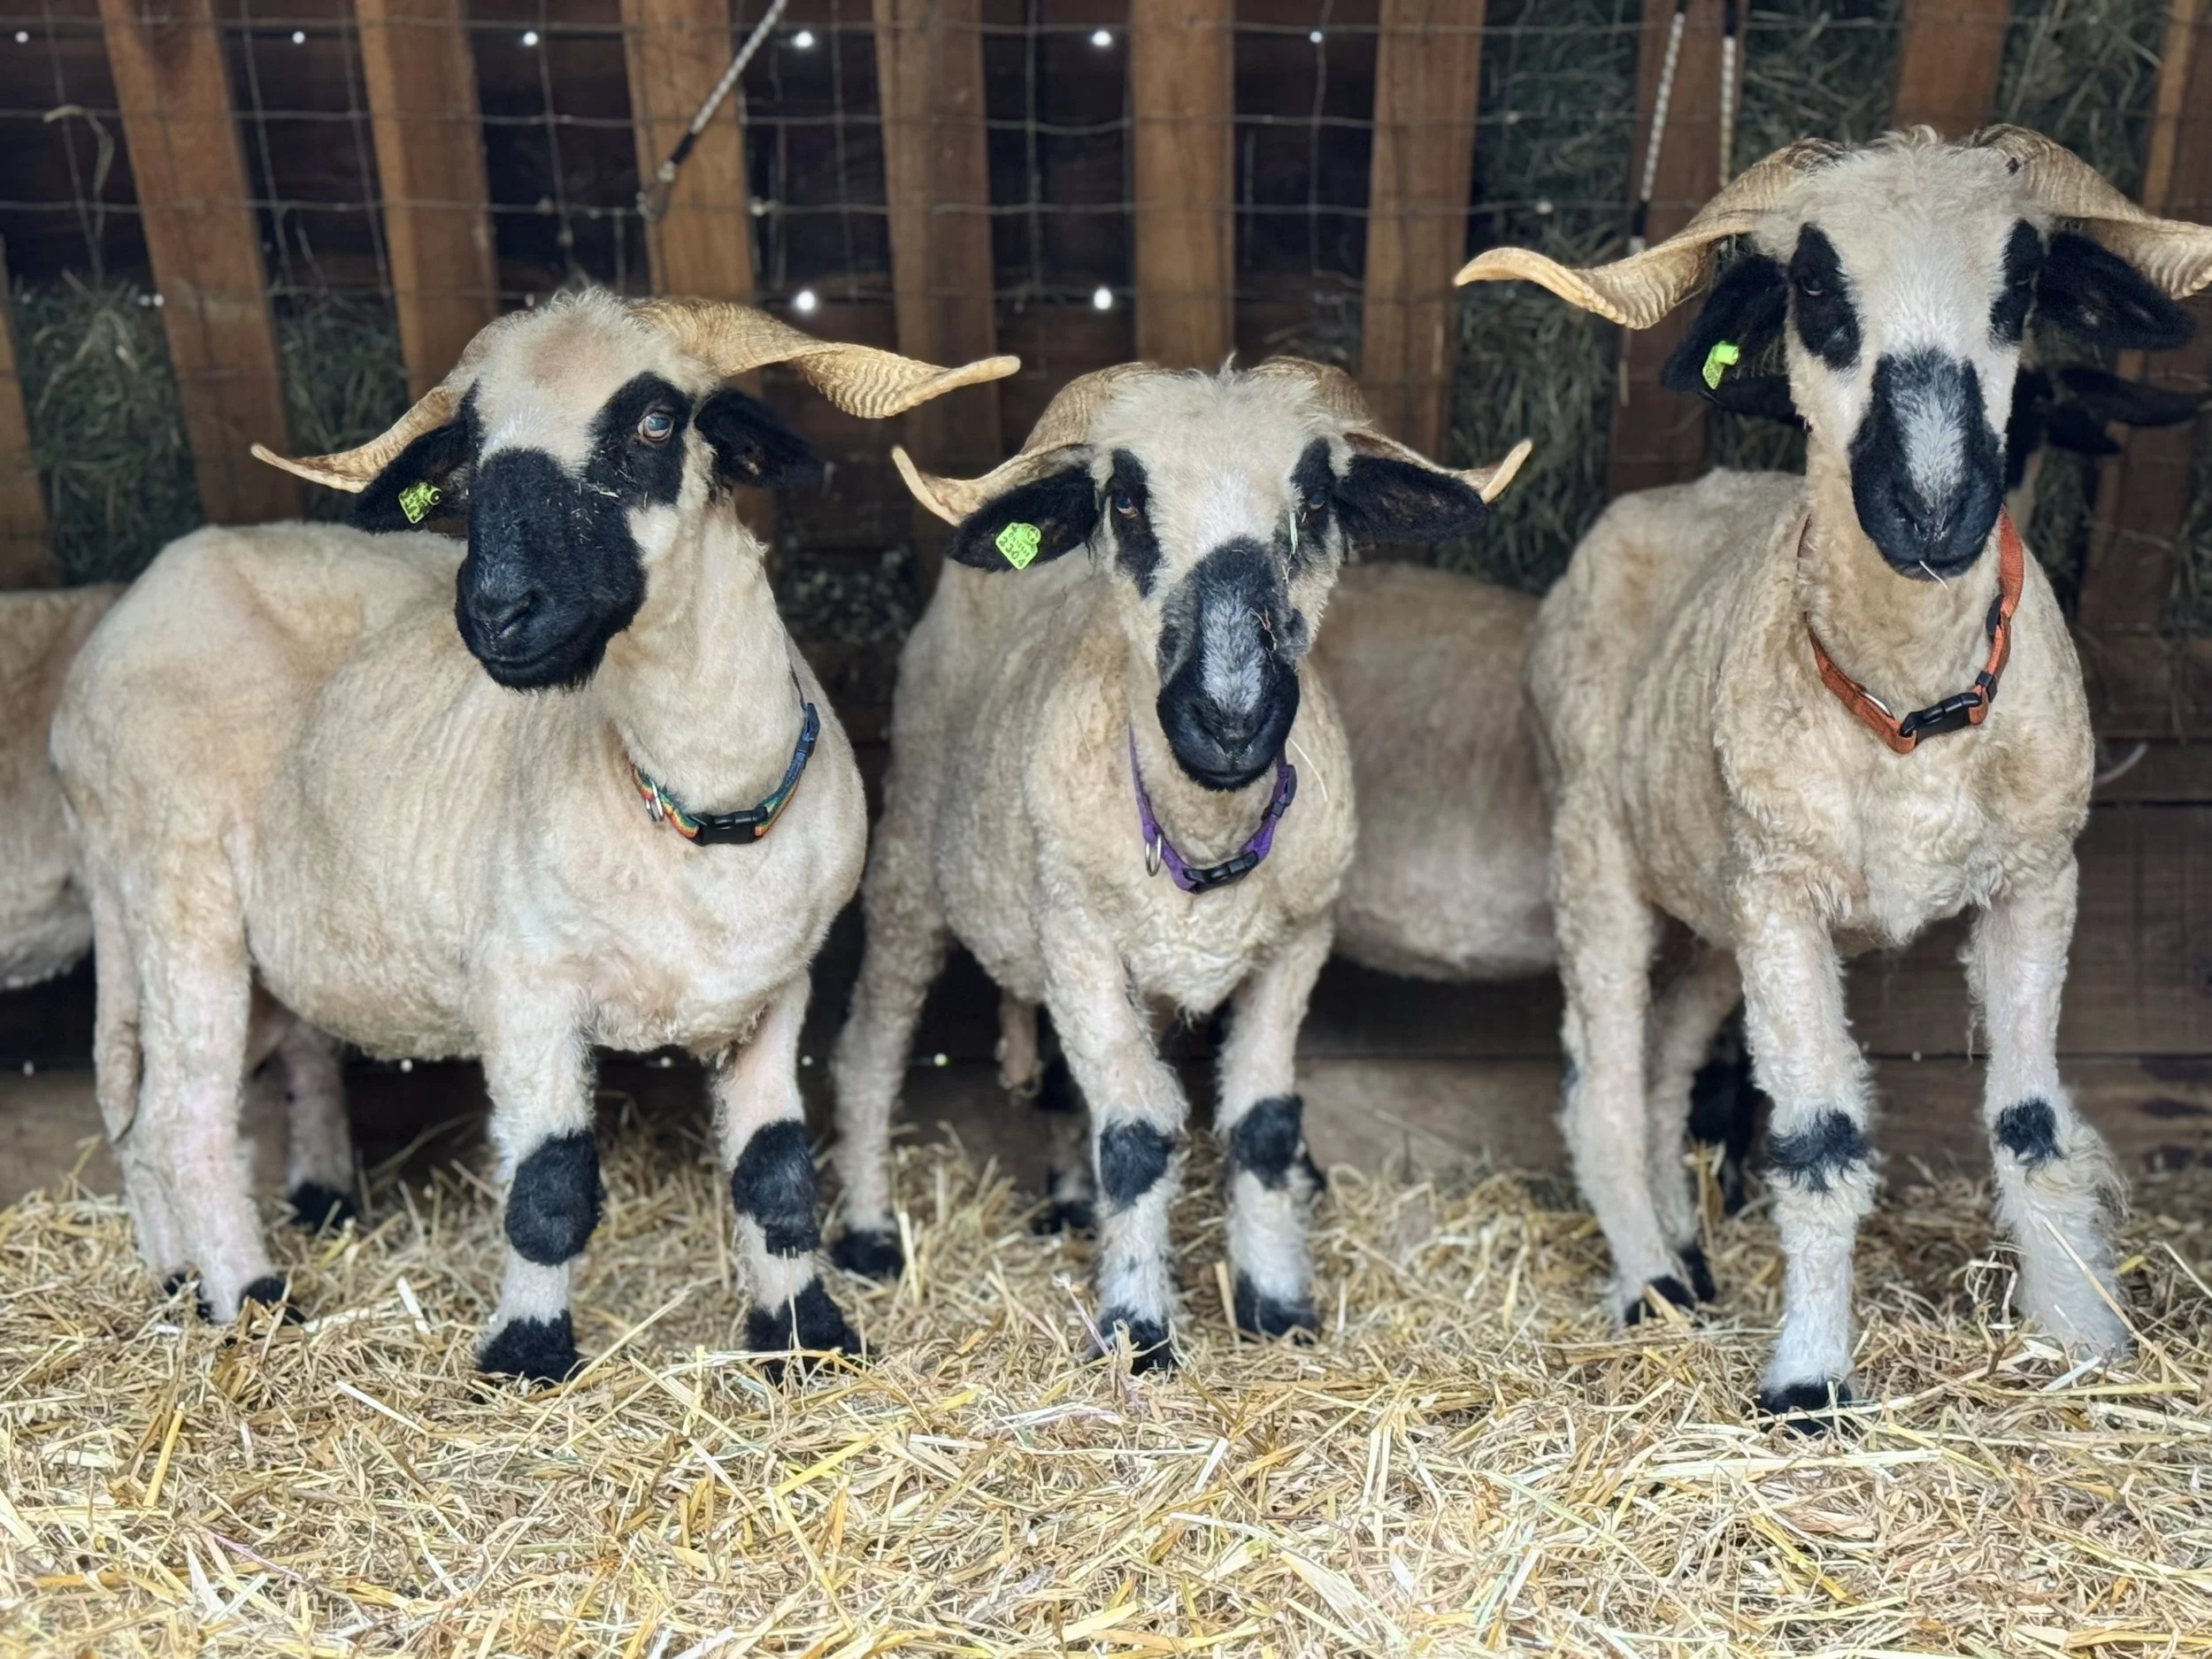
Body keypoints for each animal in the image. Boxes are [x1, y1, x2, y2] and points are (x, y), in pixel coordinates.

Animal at [49, 291, 1013, 1380]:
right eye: (470, 453)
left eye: (655, 422)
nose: (498, 612)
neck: (701, 812)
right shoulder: (523, 986)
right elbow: (549, 1187)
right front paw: (527, 1354)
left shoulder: (774, 993)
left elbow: (774, 1177)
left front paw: (807, 1338)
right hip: (180, 892)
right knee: (185, 1119)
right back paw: (254, 1302)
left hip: (208, 941)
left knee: (137, 1119)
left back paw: (178, 1286)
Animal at [825, 358, 1528, 1366]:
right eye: (1123, 499)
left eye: (1316, 499)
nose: (1229, 718)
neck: (1203, 830)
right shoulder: (1078, 940)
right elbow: (1135, 1133)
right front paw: (1136, 1329)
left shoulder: (1296, 942)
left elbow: (1263, 1126)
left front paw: (1276, 1307)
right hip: (910, 867)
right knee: (870, 1053)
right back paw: (870, 1236)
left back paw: (1071, 1204)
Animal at [1458, 126, 2212, 1422]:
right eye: (1815, 289)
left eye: (2020, 285)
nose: (1937, 510)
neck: (1908, 705)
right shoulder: (1785, 898)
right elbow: (1812, 1142)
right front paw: (1808, 1376)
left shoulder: (2034, 877)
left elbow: (2030, 1123)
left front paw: (2080, 1340)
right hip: (1598, 855)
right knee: (1599, 1080)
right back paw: (1650, 1282)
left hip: (1716, 913)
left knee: (1663, 1071)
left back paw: (1688, 1257)